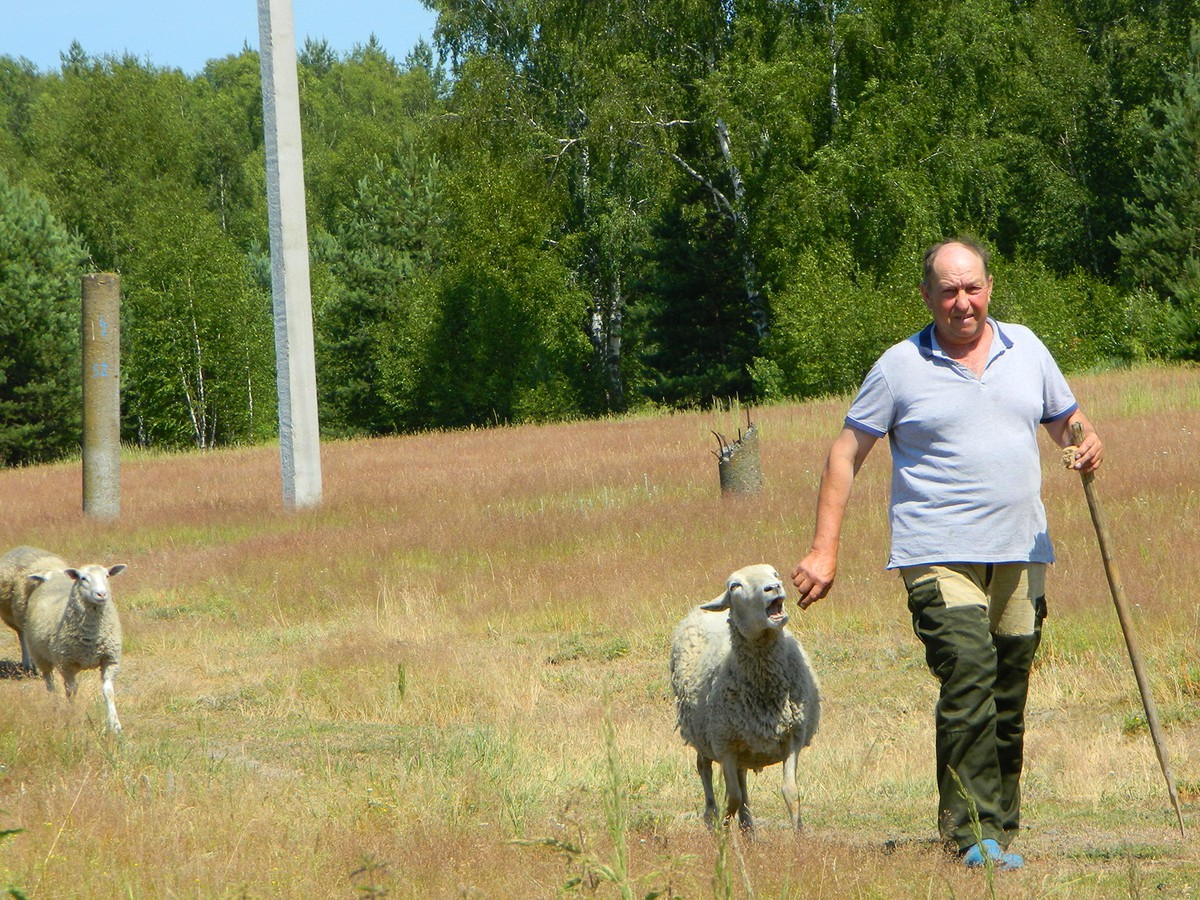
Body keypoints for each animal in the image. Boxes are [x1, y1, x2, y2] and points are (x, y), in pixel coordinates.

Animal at [25, 564, 127, 734]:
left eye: (107, 576)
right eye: (83, 578)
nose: (101, 594)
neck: (92, 636)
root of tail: (53, 577)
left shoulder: (110, 659)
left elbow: (108, 691)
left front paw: (115, 724)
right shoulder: (66, 664)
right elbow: (71, 691)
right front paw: (72, 715)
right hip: (39, 655)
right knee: (50, 684)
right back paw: (55, 706)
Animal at [672, 566, 820, 835]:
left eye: (774, 573)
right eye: (735, 586)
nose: (773, 587)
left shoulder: (794, 735)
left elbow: (791, 793)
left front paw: (798, 835)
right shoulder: (724, 744)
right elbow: (731, 796)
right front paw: (723, 831)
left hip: (743, 740)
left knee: (741, 778)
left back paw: (747, 825)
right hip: (701, 733)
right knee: (704, 769)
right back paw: (712, 817)